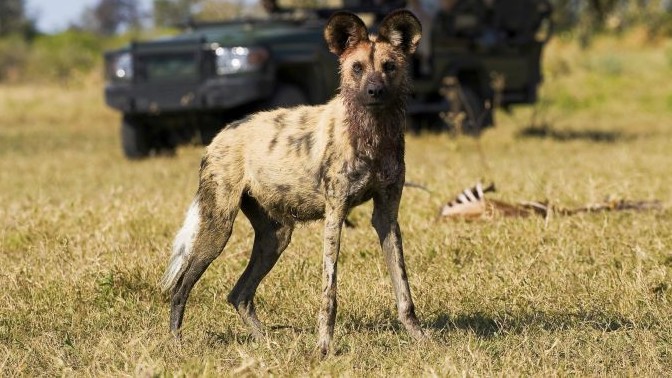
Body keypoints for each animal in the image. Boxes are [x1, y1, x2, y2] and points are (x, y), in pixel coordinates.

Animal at [162, 10, 422, 356]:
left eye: (389, 66)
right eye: (357, 68)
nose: (374, 91)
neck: (373, 136)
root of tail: (221, 134)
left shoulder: (387, 217)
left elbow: (404, 291)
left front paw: (422, 339)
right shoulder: (335, 214)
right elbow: (329, 295)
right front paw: (323, 349)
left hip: (276, 237)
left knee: (239, 293)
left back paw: (268, 344)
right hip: (218, 229)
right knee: (180, 288)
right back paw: (177, 346)